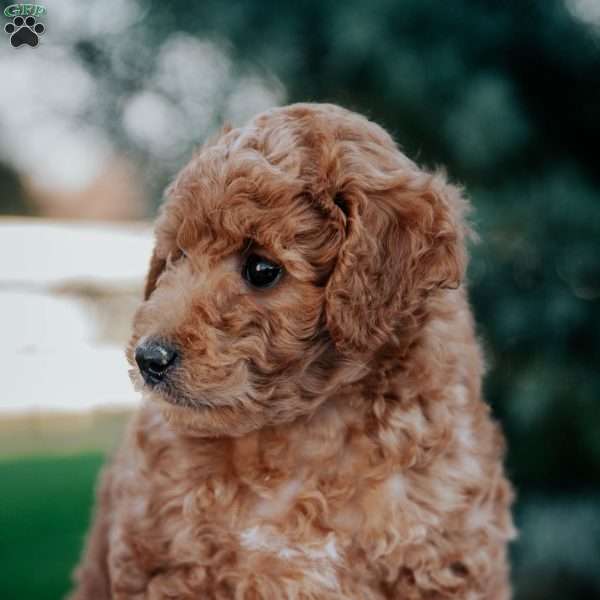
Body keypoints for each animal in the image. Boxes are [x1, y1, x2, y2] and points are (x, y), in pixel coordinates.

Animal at [71, 103, 516, 600]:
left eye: (262, 269)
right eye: (178, 255)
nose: (150, 359)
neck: (309, 428)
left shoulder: (445, 556)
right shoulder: (172, 562)